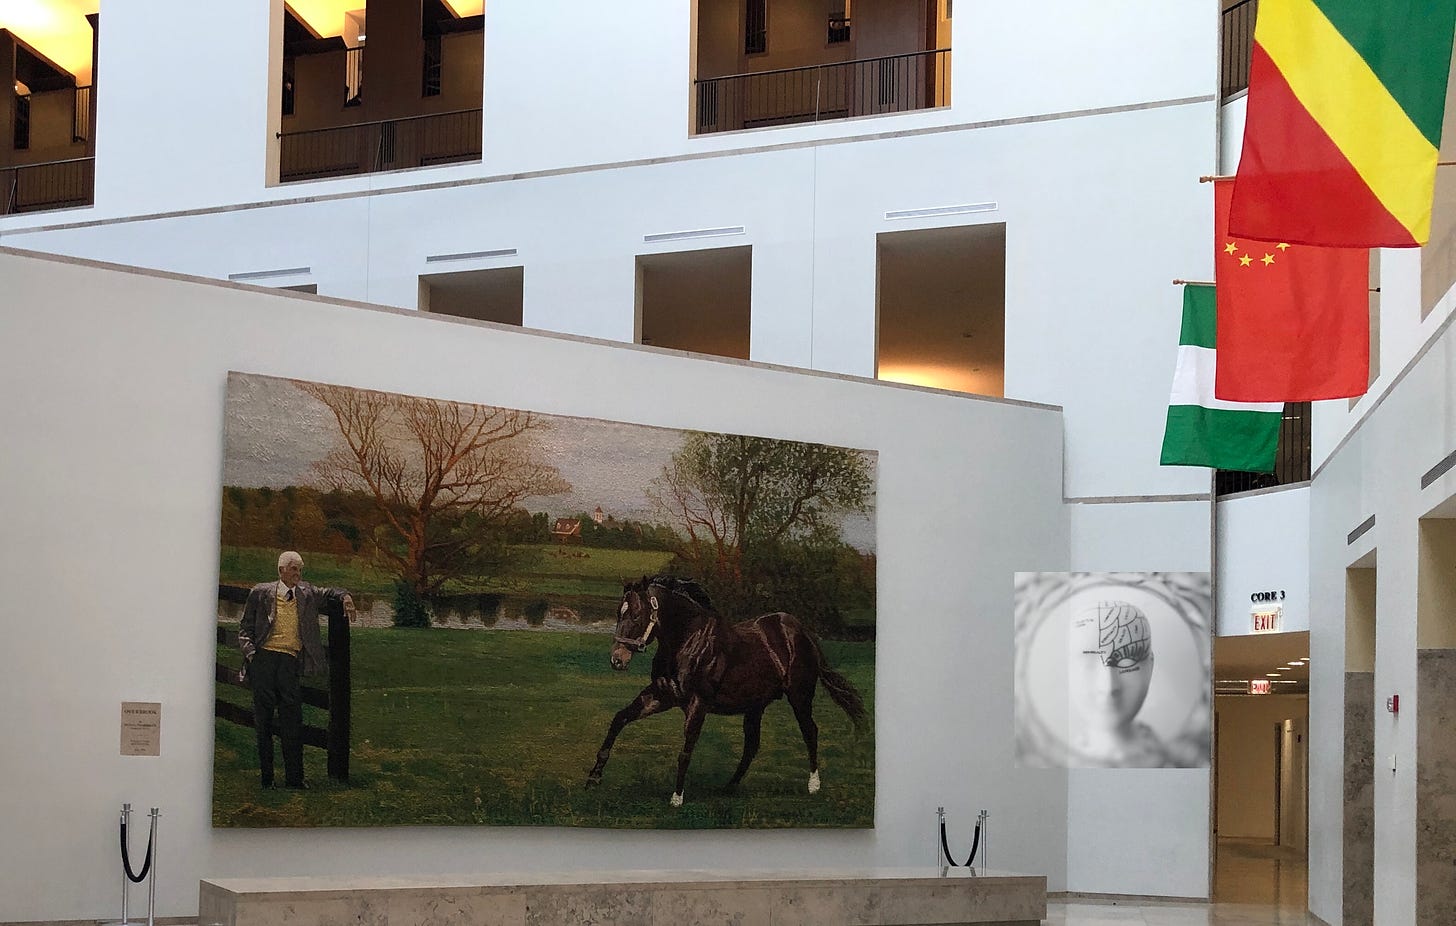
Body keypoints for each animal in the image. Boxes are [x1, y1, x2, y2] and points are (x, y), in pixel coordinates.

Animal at [588, 576, 867, 809]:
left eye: (637, 615)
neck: (688, 642)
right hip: (755, 706)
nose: (617, 660)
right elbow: (620, 718)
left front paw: (677, 798)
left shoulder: (698, 704)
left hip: (800, 696)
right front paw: (594, 777)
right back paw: (729, 787)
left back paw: (813, 785)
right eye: (619, 613)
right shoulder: (661, 696)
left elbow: (686, 751)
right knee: (752, 745)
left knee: (810, 732)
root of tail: (801, 631)